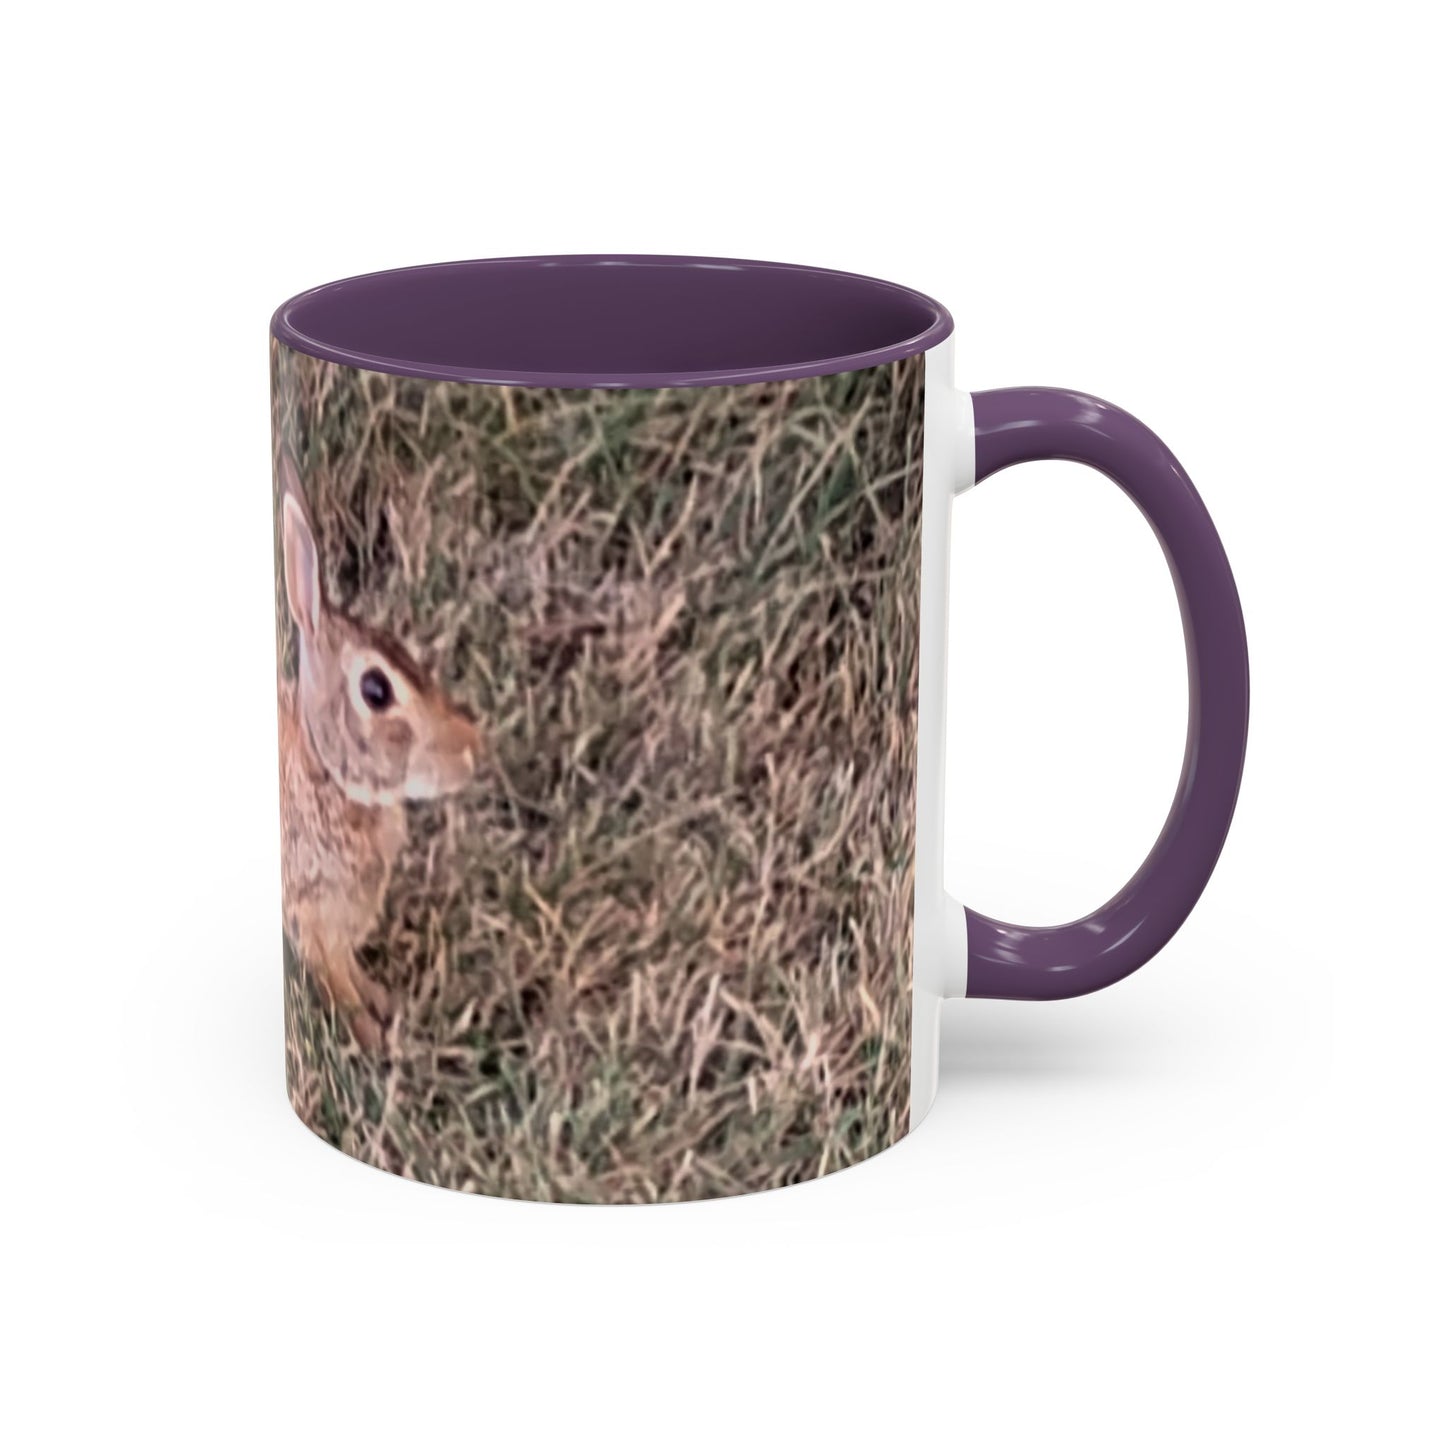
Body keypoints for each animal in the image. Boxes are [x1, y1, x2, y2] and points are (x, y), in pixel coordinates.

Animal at [276, 455, 480, 1050]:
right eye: (375, 690)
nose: (473, 748)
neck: (326, 774)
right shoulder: (313, 917)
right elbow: (338, 981)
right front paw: (369, 1034)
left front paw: (386, 1004)